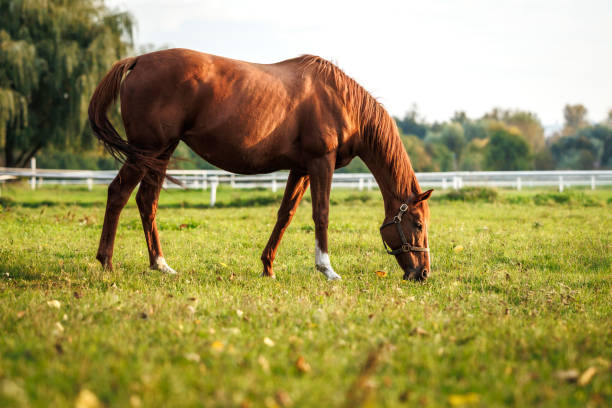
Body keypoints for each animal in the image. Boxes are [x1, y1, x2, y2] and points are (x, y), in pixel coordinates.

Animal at [89, 47, 436, 280]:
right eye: (418, 224)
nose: (423, 274)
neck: (339, 99)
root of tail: (137, 61)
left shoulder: (301, 169)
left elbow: (285, 215)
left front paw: (268, 266)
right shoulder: (321, 163)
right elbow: (321, 214)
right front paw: (327, 269)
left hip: (160, 153)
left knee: (146, 201)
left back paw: (160, 264)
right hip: (146, 150)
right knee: (118, 194)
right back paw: (106, 262)